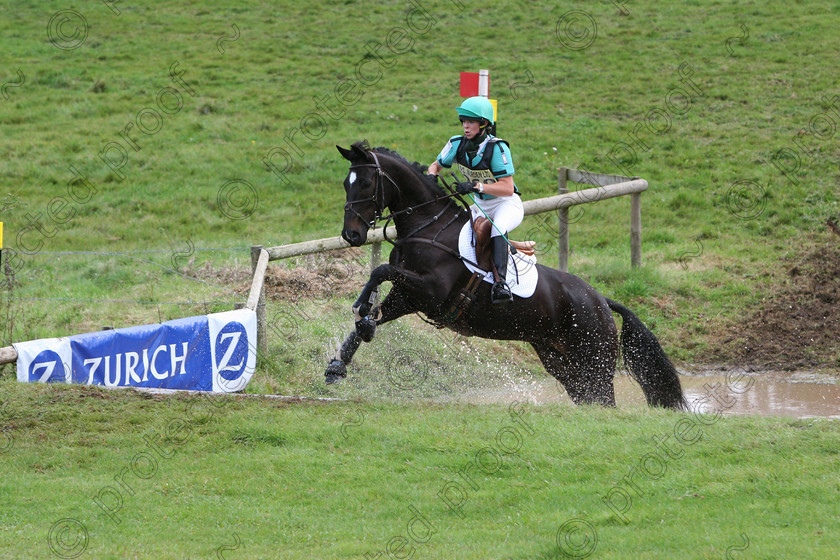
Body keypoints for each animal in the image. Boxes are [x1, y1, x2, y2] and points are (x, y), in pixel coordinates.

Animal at [324, 142, 684, 410]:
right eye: (345, 184)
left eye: (366, 184)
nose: (351, 235)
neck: (428, 226)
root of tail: (602, 301)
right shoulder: (409, 296)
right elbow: (374, 305)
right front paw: (341, 361)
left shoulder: (430, 290)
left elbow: (380, 271)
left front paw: (361, 311)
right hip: (563, 363)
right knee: (589, 398)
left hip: (593, 359)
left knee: (604, 399)